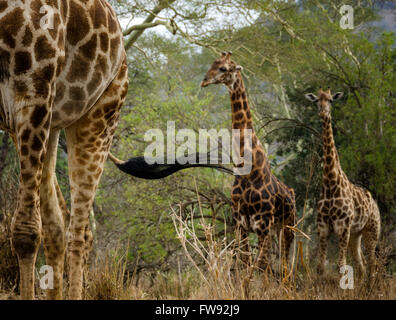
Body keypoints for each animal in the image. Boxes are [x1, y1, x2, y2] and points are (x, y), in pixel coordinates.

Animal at [0, 0, 128, 300]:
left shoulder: (32, 89)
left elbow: (25, 232)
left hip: (100, 117)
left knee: (79, 232)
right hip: (50, 124)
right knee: (58, 225)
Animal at [200, 52, 296, 272]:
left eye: (224, 68)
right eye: (213, 63)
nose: (204, 80)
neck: (248, 169)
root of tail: (292, 194)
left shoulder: (262, 225)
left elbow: (260, 267)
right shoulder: (241, 225)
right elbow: (245, 264)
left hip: (288, 227)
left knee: (285, 268)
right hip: (276, 230)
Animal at [304, 87, 382, 280]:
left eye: (331, 100)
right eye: (316, 100)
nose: (323, 112)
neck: (330, 183)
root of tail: (375, 205)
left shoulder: (342, 227)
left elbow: (341, 266)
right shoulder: (323, 227)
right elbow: (320, 267)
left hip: (371, 231)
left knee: (373, 266)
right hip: (356, 234)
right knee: (362, 266)